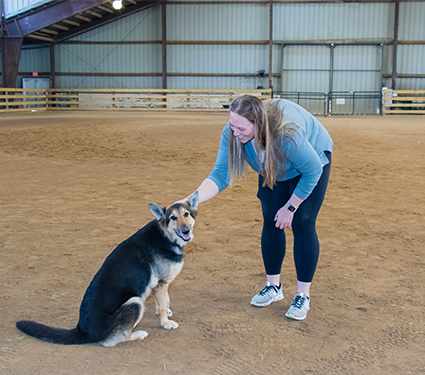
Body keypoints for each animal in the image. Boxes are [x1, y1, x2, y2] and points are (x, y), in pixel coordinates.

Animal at [14, 192, 197, 348]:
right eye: (173, 218)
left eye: (186, 214)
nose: (186, 230)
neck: (164, 235)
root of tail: (83, 331)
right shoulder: (161, 284)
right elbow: (162, 306)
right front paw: (166, 323)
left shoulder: (161, 285)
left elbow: (164, 302)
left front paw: (166, 312)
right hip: (135, 302)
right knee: (111, 341)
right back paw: (138, 334)